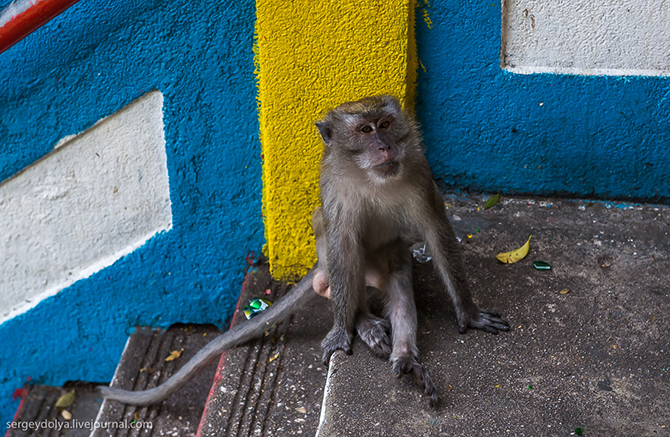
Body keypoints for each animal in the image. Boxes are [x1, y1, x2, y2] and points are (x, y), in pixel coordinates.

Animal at [98, 94, 510, 406]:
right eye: (365, 130)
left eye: (386, 124)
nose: (385, 146)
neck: (371, 178)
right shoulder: (335, 186)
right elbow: (342, 241)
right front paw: (344, 329)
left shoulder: (419, 173)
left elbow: (436, 234)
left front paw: (468, 313)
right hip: (332, 264)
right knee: (335, 259)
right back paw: (360, 318)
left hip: (387, 267)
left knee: (398, 284)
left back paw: (406, 358)